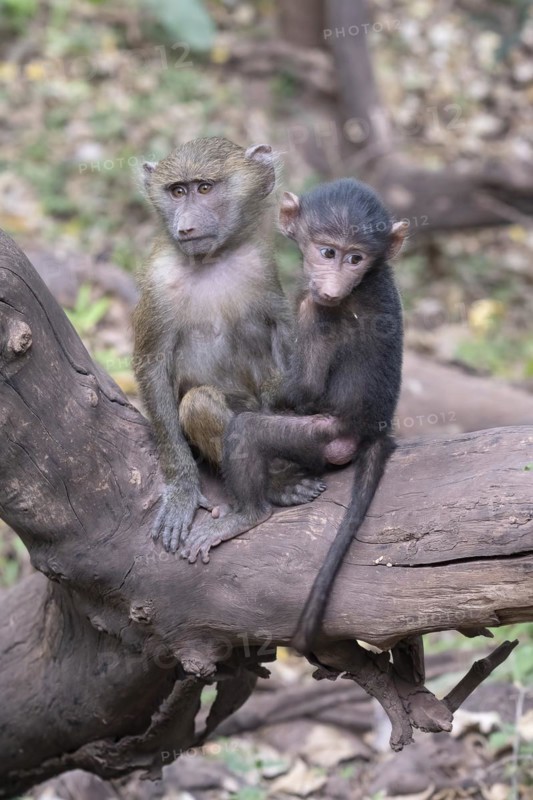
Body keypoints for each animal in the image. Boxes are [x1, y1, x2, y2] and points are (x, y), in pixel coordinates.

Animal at [133, 137, 326, 553]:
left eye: (205, 188)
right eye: (177, 191)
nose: (186, 226)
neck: (212, 259)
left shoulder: (260, 265)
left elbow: (287, 342)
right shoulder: (157, 280)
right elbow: (153, 369)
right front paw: (182, 489)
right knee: (199, 403)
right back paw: (278, 486)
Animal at [181, 177, 407, 654]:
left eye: (355, 258)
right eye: (327, 251)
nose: (334, 284)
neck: (371, 278)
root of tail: (374, 431)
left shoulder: (315, 311)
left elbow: (302, 389)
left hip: (321, 437)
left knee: (249, 431)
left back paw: (250, 513)